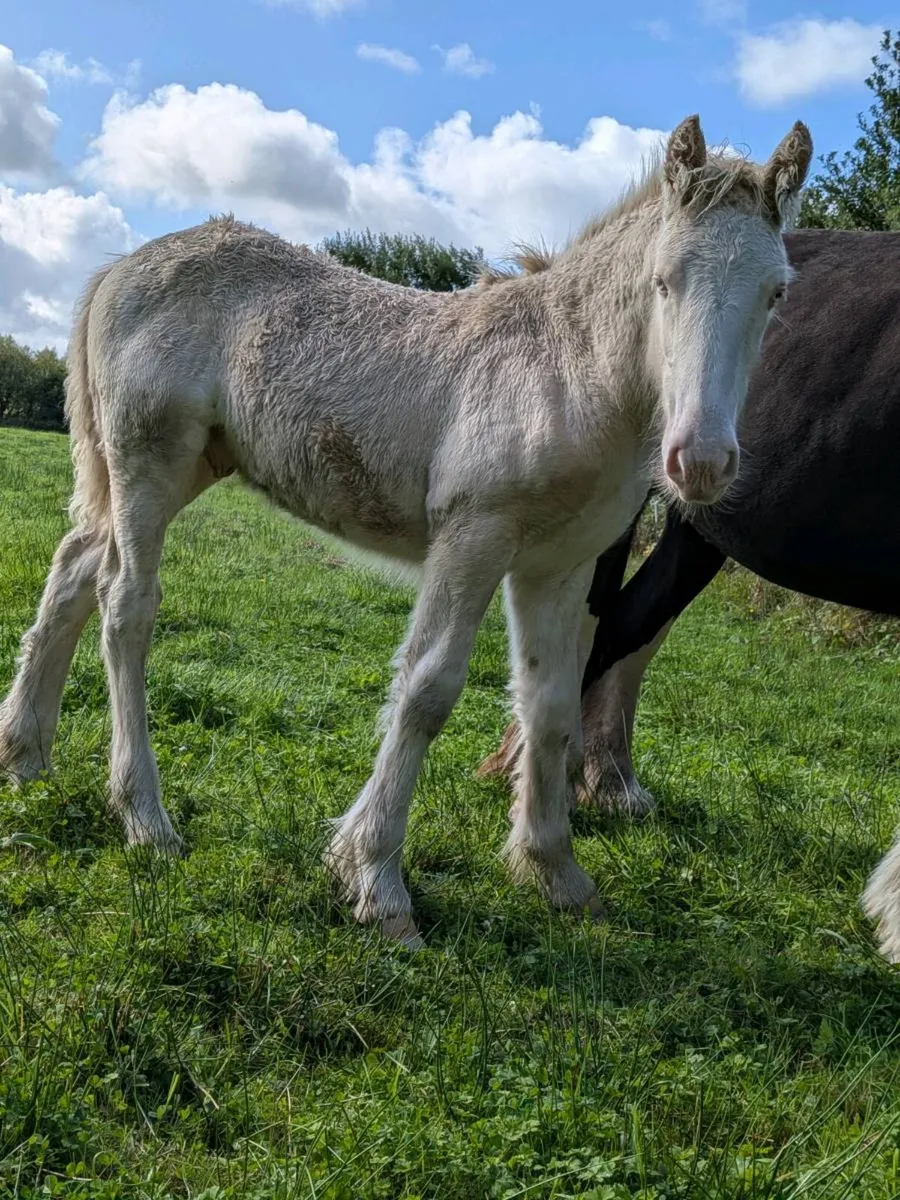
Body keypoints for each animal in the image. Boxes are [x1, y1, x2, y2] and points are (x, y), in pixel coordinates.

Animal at [0, 116, 811, 946]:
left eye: (776, 292)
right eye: (663, 280)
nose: (701, 462)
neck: (565, 371)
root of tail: (120, 267)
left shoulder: (558, 566)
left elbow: (550, 704)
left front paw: (555, 871)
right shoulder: (471, 539)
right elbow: (427, 692)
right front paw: (376, 881)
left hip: (184, 465)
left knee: (73, 569)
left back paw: (25, 758)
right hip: (150, 465)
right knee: (124, 606)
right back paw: (146, 817)